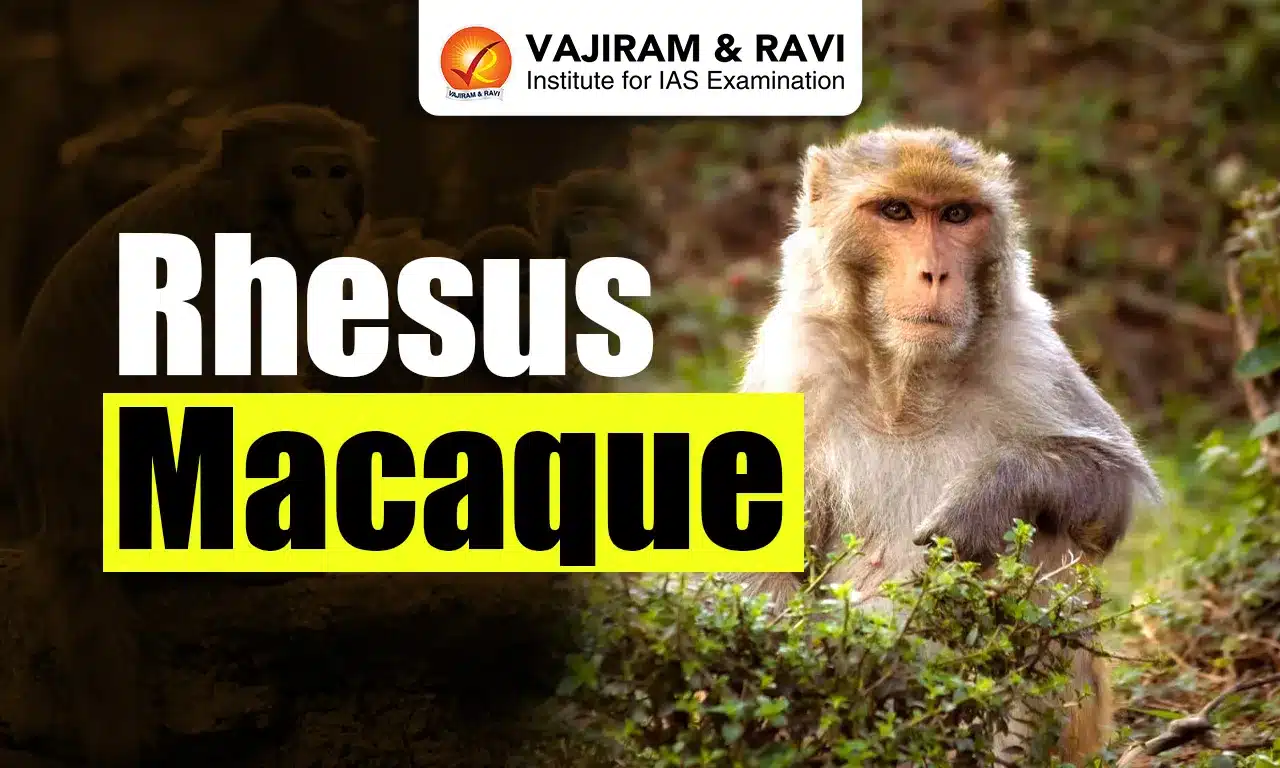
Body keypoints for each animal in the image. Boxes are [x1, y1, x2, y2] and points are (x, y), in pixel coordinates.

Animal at [0, 103, 373, 766]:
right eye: (302, 172)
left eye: (337, 172)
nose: (330, 208)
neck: (239, 203)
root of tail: (71, 531)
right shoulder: (234, 264)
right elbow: (246, 385)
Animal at [730, 125, 1162, 765]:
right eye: (896, 212)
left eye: (957, 214)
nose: (935, 274)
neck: (906, 386)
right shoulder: (792, 371)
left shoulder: (1028, 349)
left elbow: (1111, 493)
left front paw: (985, 500)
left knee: (1046, 535)